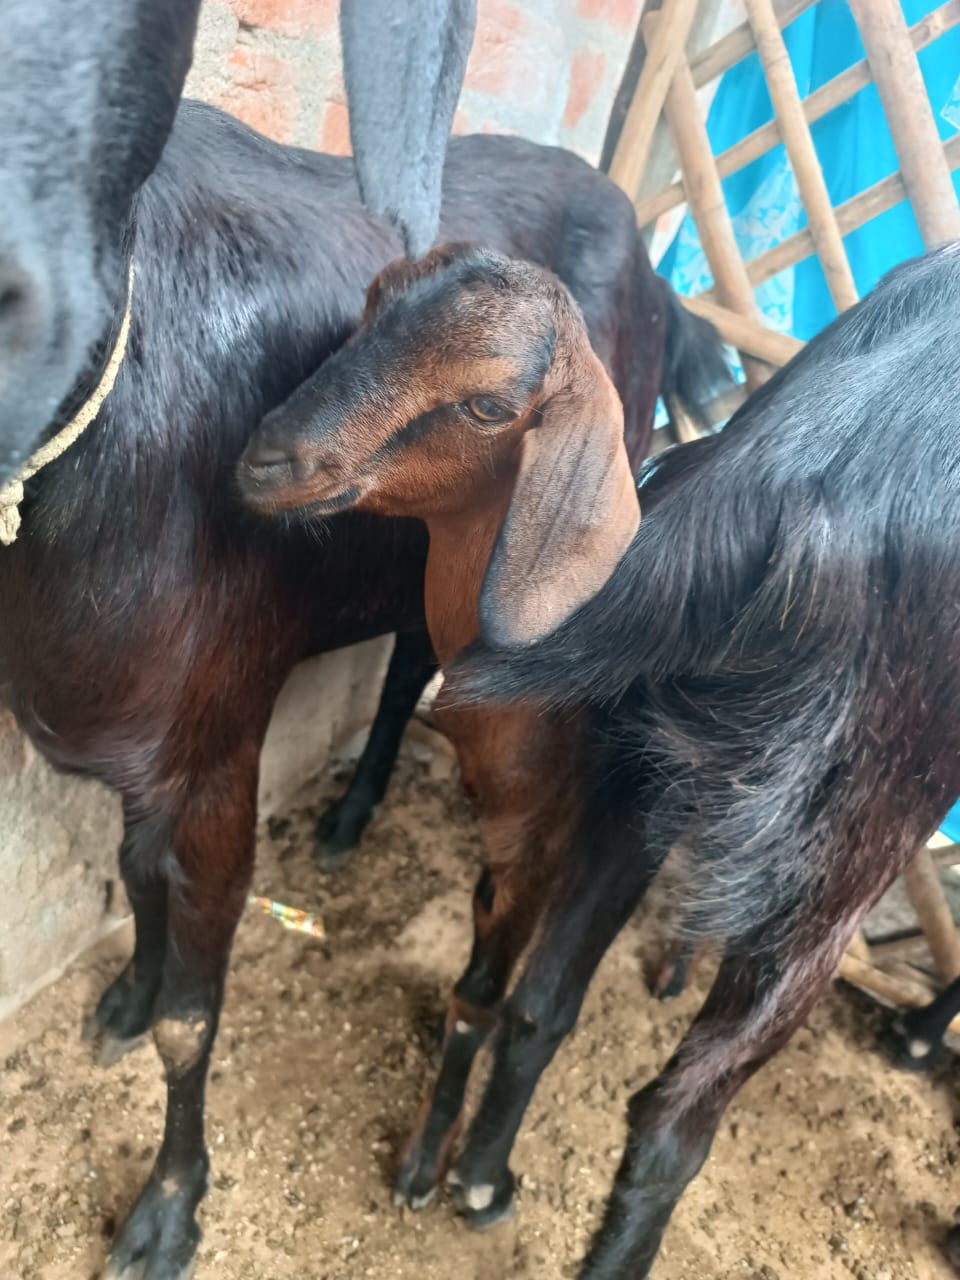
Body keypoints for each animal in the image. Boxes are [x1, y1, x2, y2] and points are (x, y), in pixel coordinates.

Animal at [241, 241, 960, 1276]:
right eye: (373, 306)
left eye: (489, 405)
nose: (266, 457)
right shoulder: (540, 830)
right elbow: (490, 990)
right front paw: (429, 1165)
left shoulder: (557, 826)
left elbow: (497, 992)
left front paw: (437, 1165)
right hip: (818, 840)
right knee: (661, 1102)